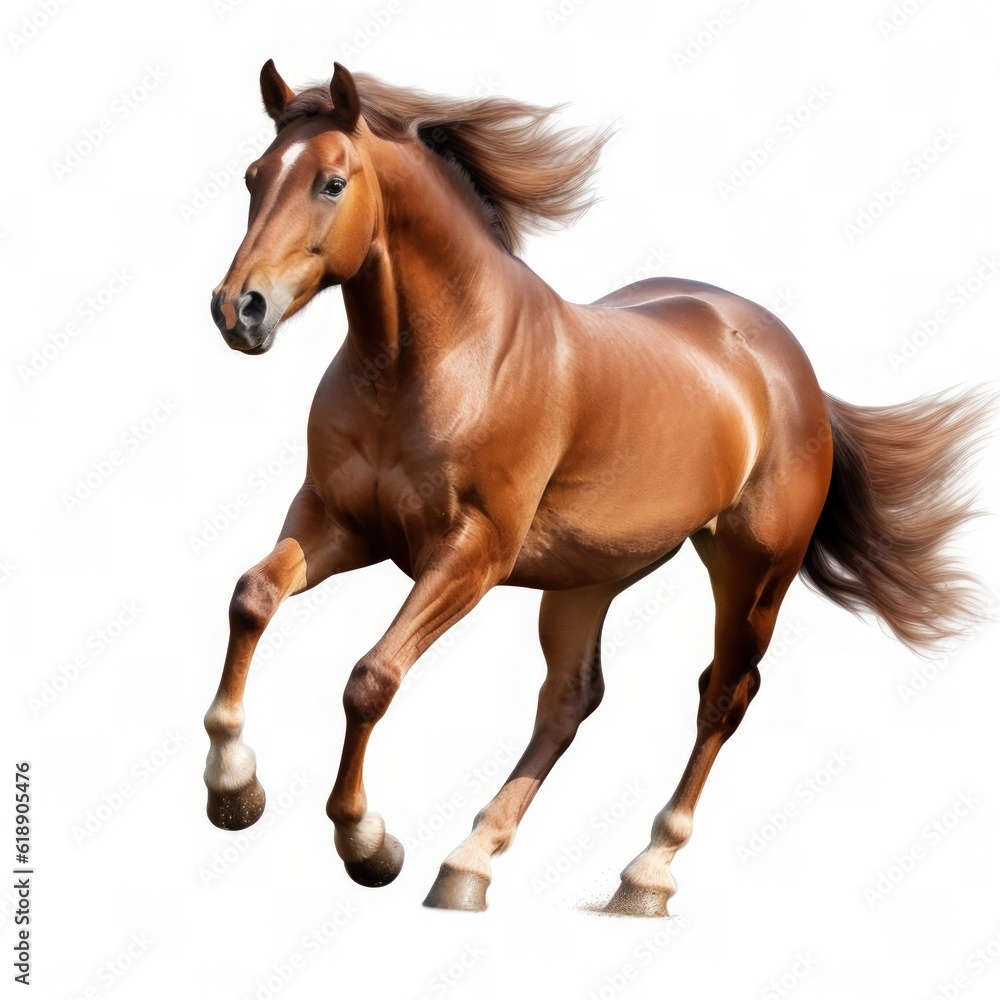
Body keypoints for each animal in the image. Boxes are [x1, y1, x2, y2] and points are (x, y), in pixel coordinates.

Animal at [203, 60, 990, 916]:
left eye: (332, 182)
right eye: (253, 177)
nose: (237, 309)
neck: (434, 358)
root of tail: (794, 370)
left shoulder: (470, 553)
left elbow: (370, 679)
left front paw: (367, 844)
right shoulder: (338, 522)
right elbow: (251, 597)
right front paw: (233, 791)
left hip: (753, 574)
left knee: (723, 694)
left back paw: (645, 874)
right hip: (588, 579)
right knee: (570, 699)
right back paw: (469, 865)